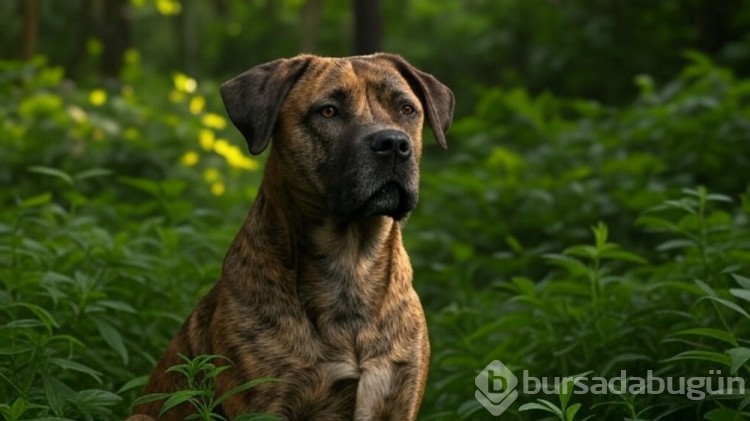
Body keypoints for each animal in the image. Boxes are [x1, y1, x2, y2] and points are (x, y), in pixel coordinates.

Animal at [129, 54, 456, 418]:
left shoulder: (399, 395)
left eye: (406, 109)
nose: (394, 144)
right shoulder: (268, 402)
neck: (351, 265)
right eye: (327, 111)